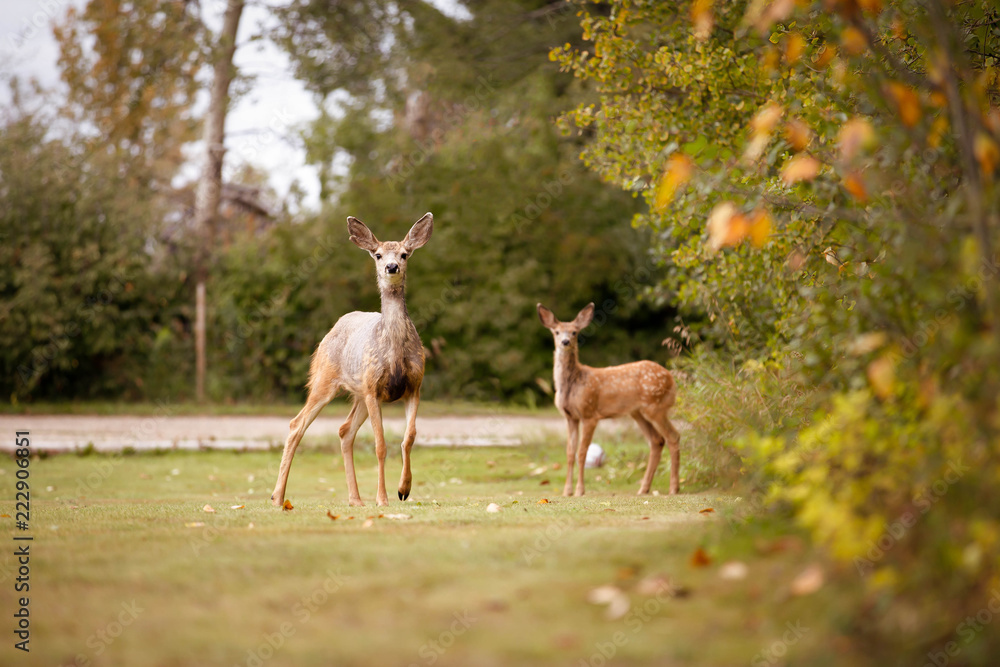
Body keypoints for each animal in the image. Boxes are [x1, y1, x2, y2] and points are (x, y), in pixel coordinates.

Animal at [271, 213, 433, 508]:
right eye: (378, 255)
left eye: (404, 254)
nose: (391, 267)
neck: (393, 352)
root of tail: (333, 327)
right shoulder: (373, 389)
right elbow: (380, 445)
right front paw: (382, 499)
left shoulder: (414, 387)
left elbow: (409, 438)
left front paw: (403, 489)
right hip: (325, 378)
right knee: (297, 424)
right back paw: (278, 497)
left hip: (358, 393)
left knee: (345, 430)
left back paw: (355, 499)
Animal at [537, 302, 681, 497]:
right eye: (557, 332)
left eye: (574, 332)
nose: (565, 342)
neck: (573, 384)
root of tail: (672, 379)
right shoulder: (570, 417)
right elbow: (569, 453)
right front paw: (567, 491)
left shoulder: (589, 413)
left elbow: (582, 452)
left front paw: (580, 491)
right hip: (638, 412)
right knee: (657, 441)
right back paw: (643, 488)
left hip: (655, 406)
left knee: (673, 437)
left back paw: (673, 488)